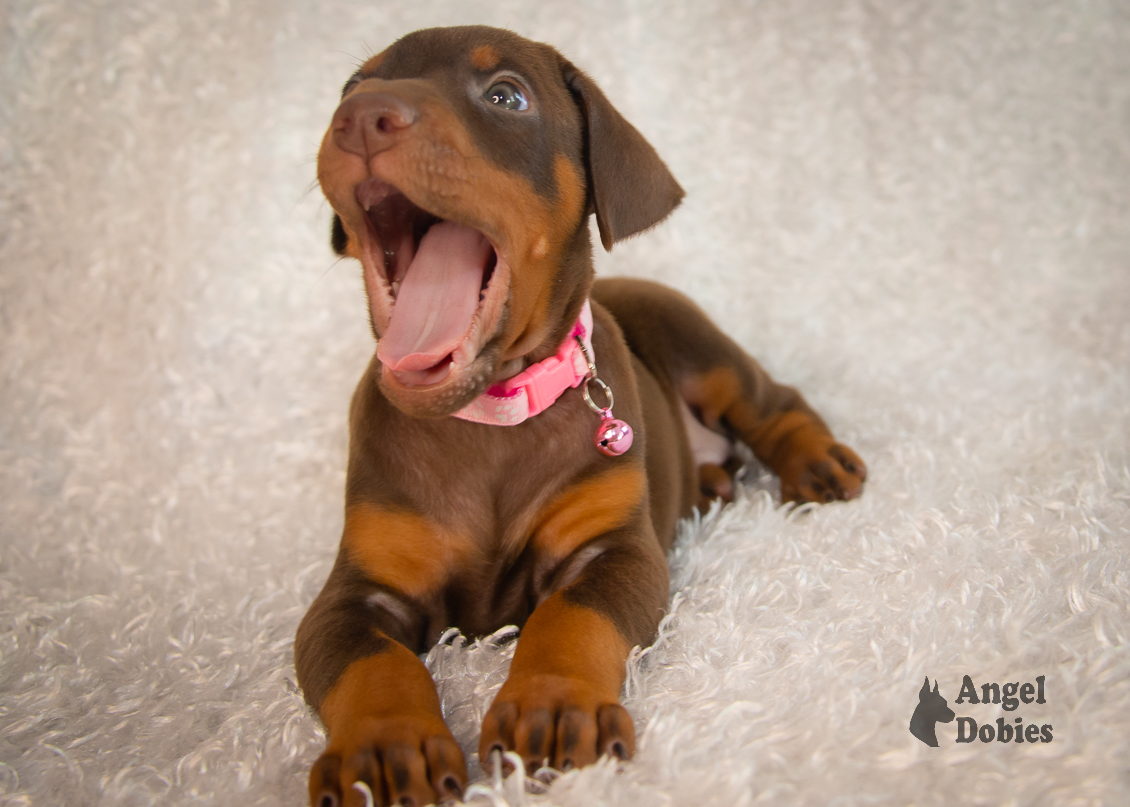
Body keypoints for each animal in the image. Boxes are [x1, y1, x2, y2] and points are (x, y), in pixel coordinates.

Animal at [298, 25, 863, 804]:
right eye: (352, 88)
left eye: (507, 96)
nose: (359, 117)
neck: (495, 416)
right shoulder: (357, 589)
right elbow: (372, 663)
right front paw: (383, 746)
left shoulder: (612, 549)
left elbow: (570, 617)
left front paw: (553, 704)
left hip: (694, 341)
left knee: (771, 400)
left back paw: (815, 459)